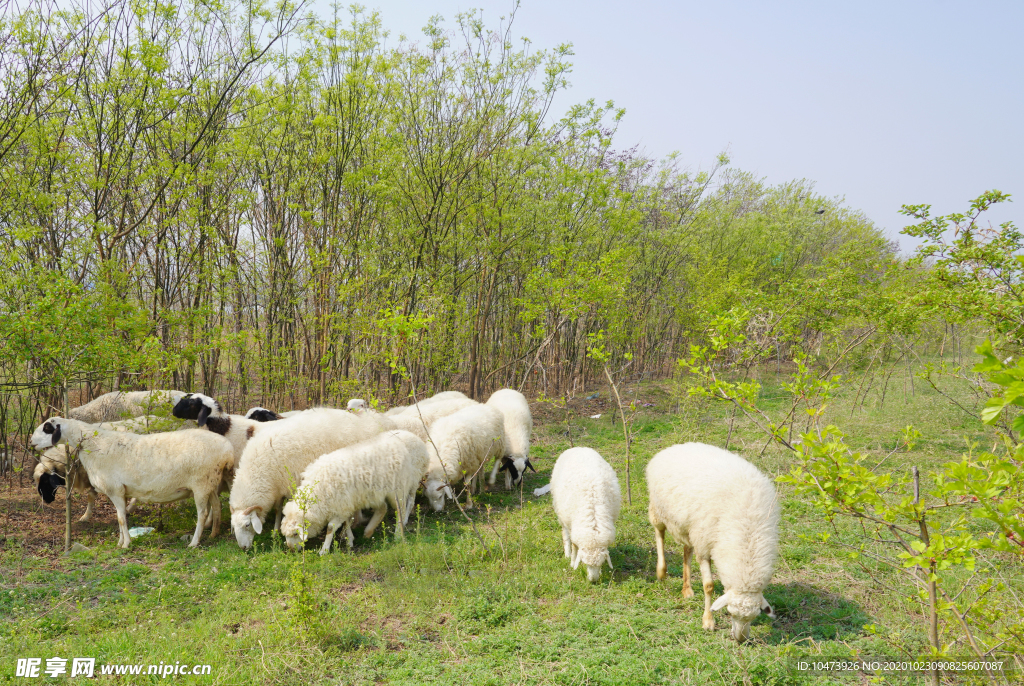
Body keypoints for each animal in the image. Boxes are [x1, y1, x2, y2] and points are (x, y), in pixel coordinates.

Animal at [29, 419, 236, 548]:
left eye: (46, 428)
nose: (31, 442)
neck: (94, 445)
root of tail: (228, 449)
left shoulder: (115, 490)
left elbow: (121, 519)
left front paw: (126, 544)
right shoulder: (119, 492)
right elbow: (120, 518)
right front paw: (121, 542)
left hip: (201, 484)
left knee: (202, 514)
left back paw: (194, 542)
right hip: (210, 483)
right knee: (217, 506)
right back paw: (214, 533)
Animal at [230, 411, 393, 552]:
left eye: (247, 525)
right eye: (234, 526)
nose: (243, 548)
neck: (259, 470)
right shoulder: (278, 487)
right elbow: (277, 509)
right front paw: (275, 531)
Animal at [280, 432, 428, 556]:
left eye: (295, 534)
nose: (291, 550)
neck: (317, 492)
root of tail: (398, 443)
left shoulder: (341, 505)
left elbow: (330, 528)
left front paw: (324, 550)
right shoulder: (344, 504)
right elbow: (346, 522)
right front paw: (350, 539)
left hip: (398, 489)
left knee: (400, 509)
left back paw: (398, 533)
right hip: (374, 493)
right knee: (383, 508)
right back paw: (368, 531)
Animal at [548, 448, 618, 581]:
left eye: (601, 563)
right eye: (585, 564)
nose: (593, 581)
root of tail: (577, 447)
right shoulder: (573, 527)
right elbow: (575, 546)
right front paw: (572, 562)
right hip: (561, 514)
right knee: (565, 534)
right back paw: (567, 553)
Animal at [643, 446, 778, 647]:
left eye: (754, 617)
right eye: (729, 612)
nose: (740, 640)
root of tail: (677, 446)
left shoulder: (702, 536)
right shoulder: (704, 545)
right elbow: (708, 586)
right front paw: (708, 621)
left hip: (689, 526)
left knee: (687, 550)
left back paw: (687, 589)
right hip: (659, 509)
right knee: (659, 533)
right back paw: (661, 571)